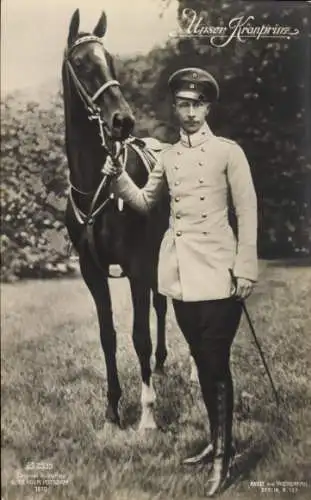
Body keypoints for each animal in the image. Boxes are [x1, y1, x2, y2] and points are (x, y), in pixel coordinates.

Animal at [62, 9, 169, 428]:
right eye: (80, 63)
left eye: (109, 59)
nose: (122, 120)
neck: (97, 183)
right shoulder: (91, 270)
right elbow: (108, 335)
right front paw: (112, 409)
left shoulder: (137, 265)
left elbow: (139, 335)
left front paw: (148, 414)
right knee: (161, 306)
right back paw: (160, 365)